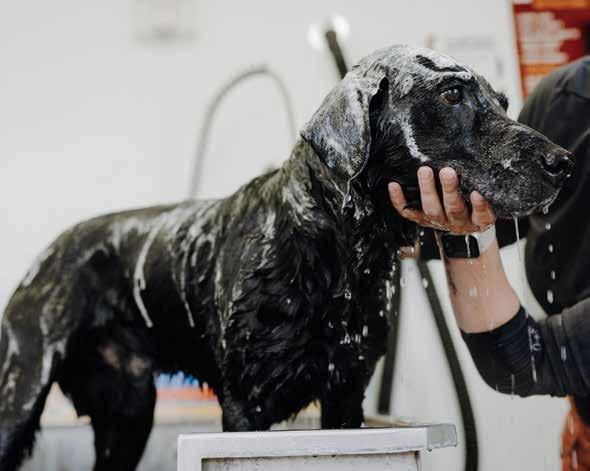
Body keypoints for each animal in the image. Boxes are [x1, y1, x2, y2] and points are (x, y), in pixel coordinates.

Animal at [0, 45, 573, 470]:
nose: (564, 162)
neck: (336, 254)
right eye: (452, 93)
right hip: (21, 392)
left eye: (503, 102)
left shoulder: (346, 397)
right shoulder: (244, 406)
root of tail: (47, 253)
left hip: (128, 417)